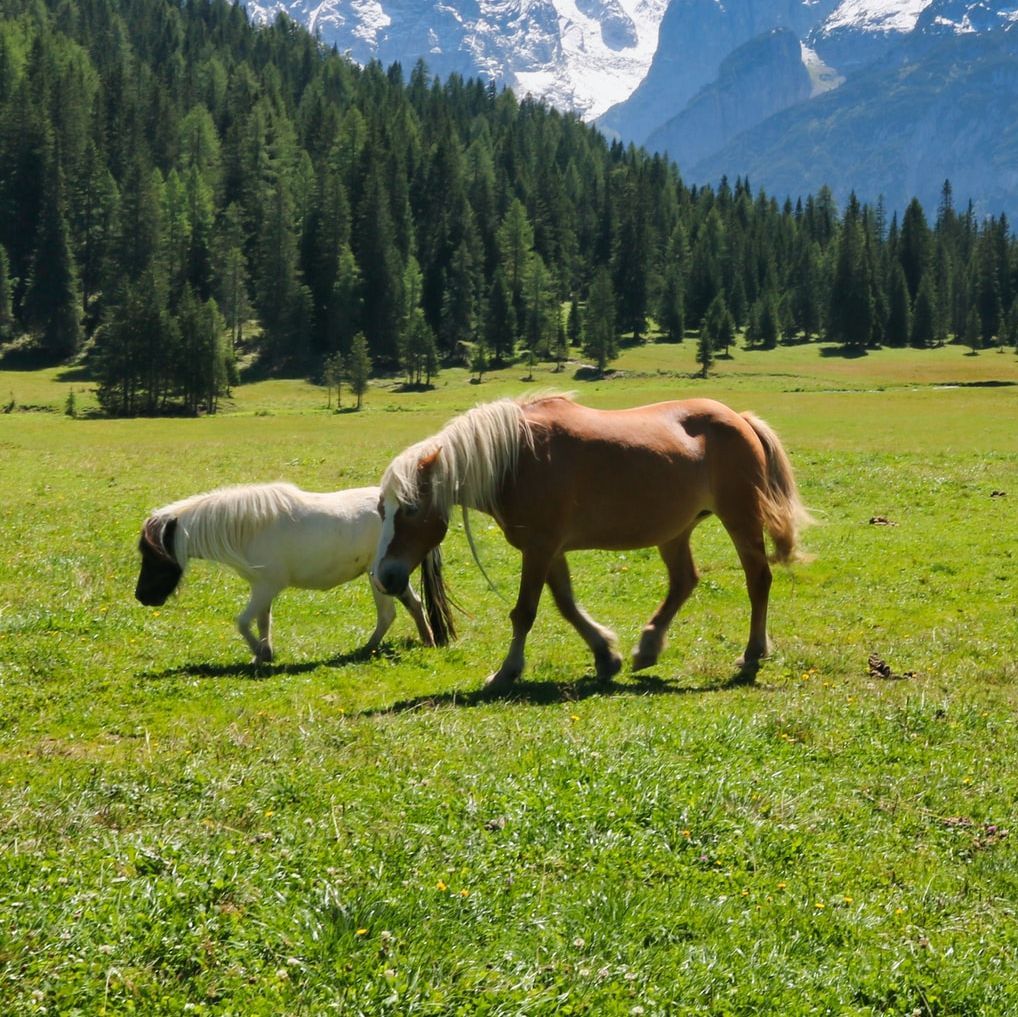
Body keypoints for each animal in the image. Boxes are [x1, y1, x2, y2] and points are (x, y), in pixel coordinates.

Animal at [133, 482, 443, 663]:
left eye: (155, 557)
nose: (142, 597)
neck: (248, 528)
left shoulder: (267, 587)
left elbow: (242, 622)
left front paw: (261, 653)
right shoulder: (261, 588)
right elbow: (262, 622)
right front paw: (263, 655)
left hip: (377, 577)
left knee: (388, 614)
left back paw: (367, 649)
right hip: (385, 576)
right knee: (413, 605)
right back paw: (426, 640)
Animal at [372, 392, 810, 696]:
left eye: (410, 508)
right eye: (380, 509)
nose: (386, 578)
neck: (516, 458)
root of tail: (740, 419)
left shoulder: (540, 548)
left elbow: (524, 613)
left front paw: (506, 671)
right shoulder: (549, 550)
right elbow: (566, 605)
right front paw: (606, 655)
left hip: (741, 519)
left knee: (758, 580)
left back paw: (753, 652)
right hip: (675, 531)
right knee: (685, 581)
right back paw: (648, 648)